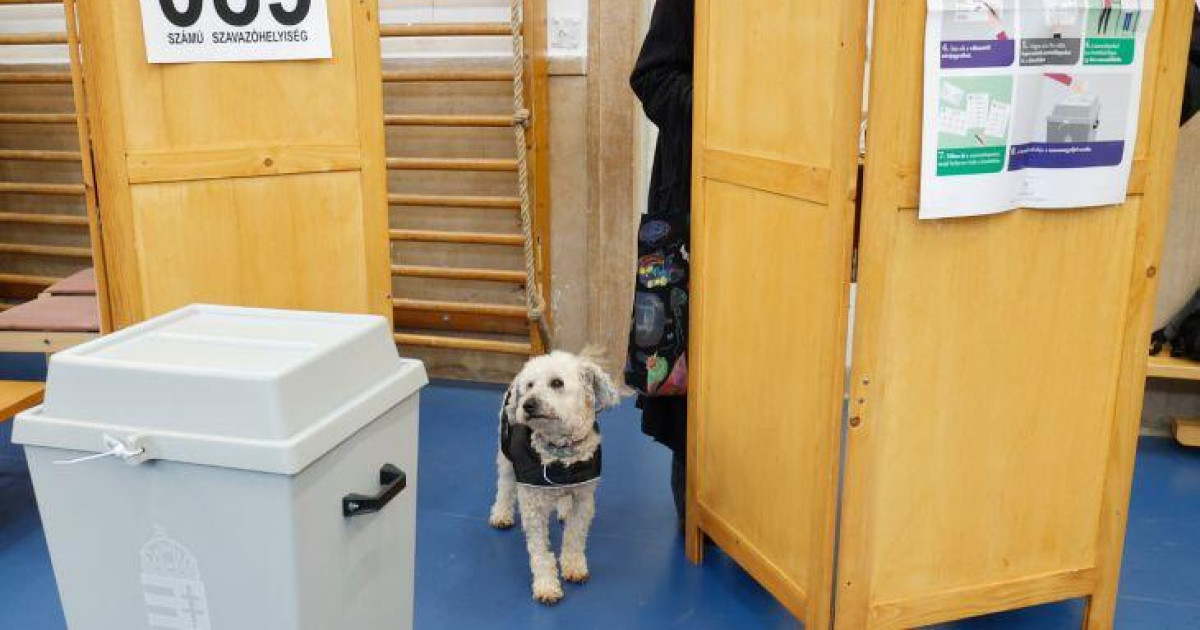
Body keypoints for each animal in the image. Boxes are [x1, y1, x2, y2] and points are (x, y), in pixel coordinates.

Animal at [488, 350, 620, 605]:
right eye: (529, 386)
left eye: (557, 383)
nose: (527, 404)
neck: (560, 451)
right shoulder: (532, 506)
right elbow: (540, 553)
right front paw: (546, 585)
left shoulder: (583, 499)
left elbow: (574, 537)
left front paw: (574, 566)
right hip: (506, 456)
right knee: (505, 487)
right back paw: (501, 514)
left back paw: (562, 510)